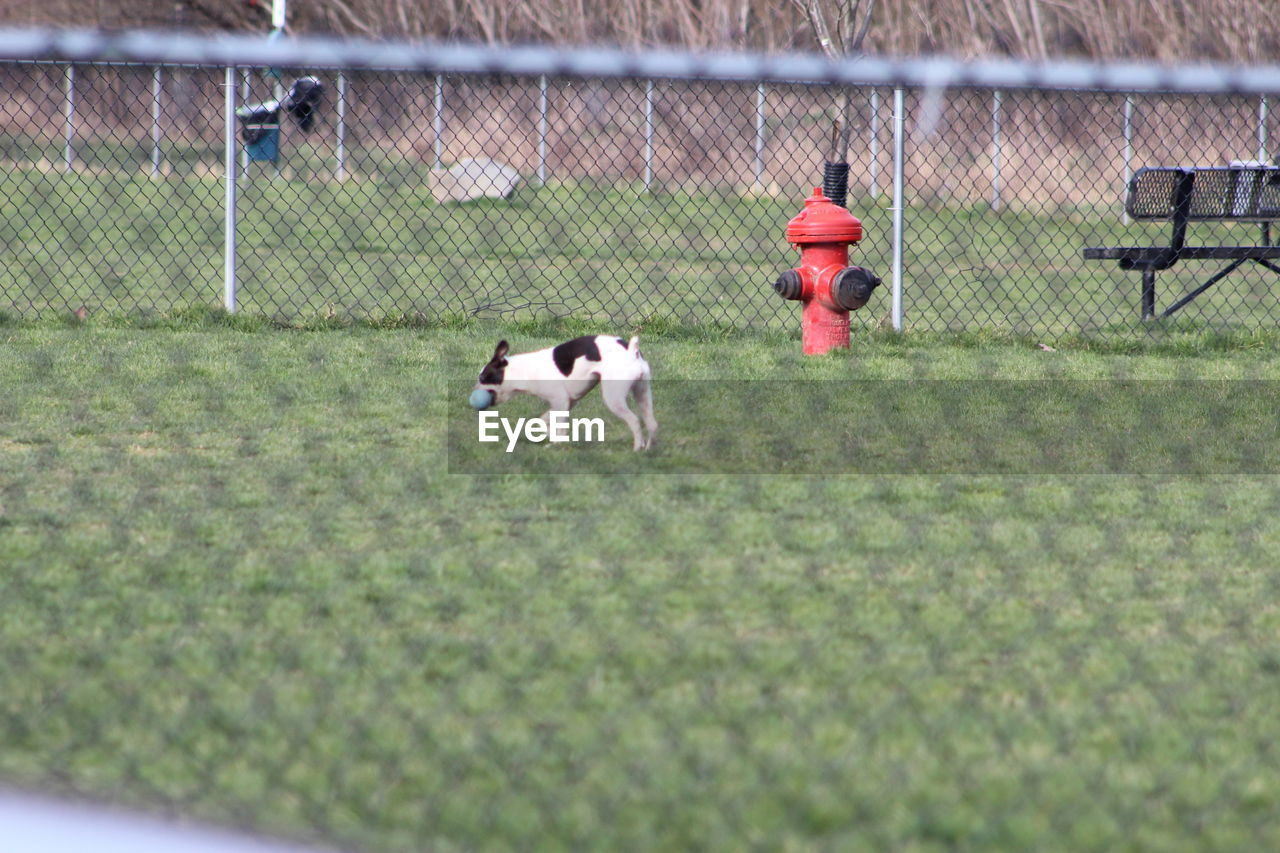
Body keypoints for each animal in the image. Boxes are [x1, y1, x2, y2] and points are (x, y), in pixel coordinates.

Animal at [471, 333, 655, 448]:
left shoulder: (560, 402)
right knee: (652, 423)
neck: (522, 370)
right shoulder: (566, 404)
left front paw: (556, 445)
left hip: (613, 399)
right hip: (643, 395)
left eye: (483, 378)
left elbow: (558, 427)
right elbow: (543, 421)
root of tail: (632, 351)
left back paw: (637, 448)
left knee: (634, 421)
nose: (474, 390)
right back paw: (648, 449)